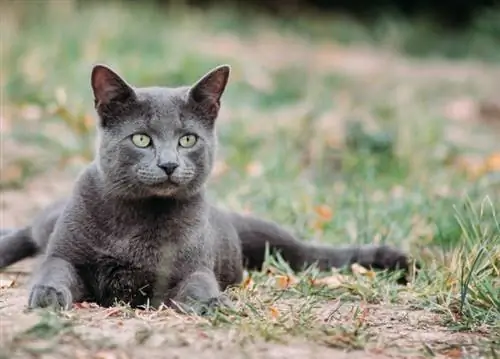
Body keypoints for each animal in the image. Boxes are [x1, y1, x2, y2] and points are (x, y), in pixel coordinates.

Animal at [0, 64, 414, 316]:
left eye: (187, 139)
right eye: (141, 139)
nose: (168, 164)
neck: (138, 218)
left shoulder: (190, 268)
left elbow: (199, 285)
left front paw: (212, 304)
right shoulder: (66, 255)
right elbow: (54, 269)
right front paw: (47, 296)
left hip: (273, 240)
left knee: (311, 253)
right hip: (51, 221)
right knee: (28, 231)